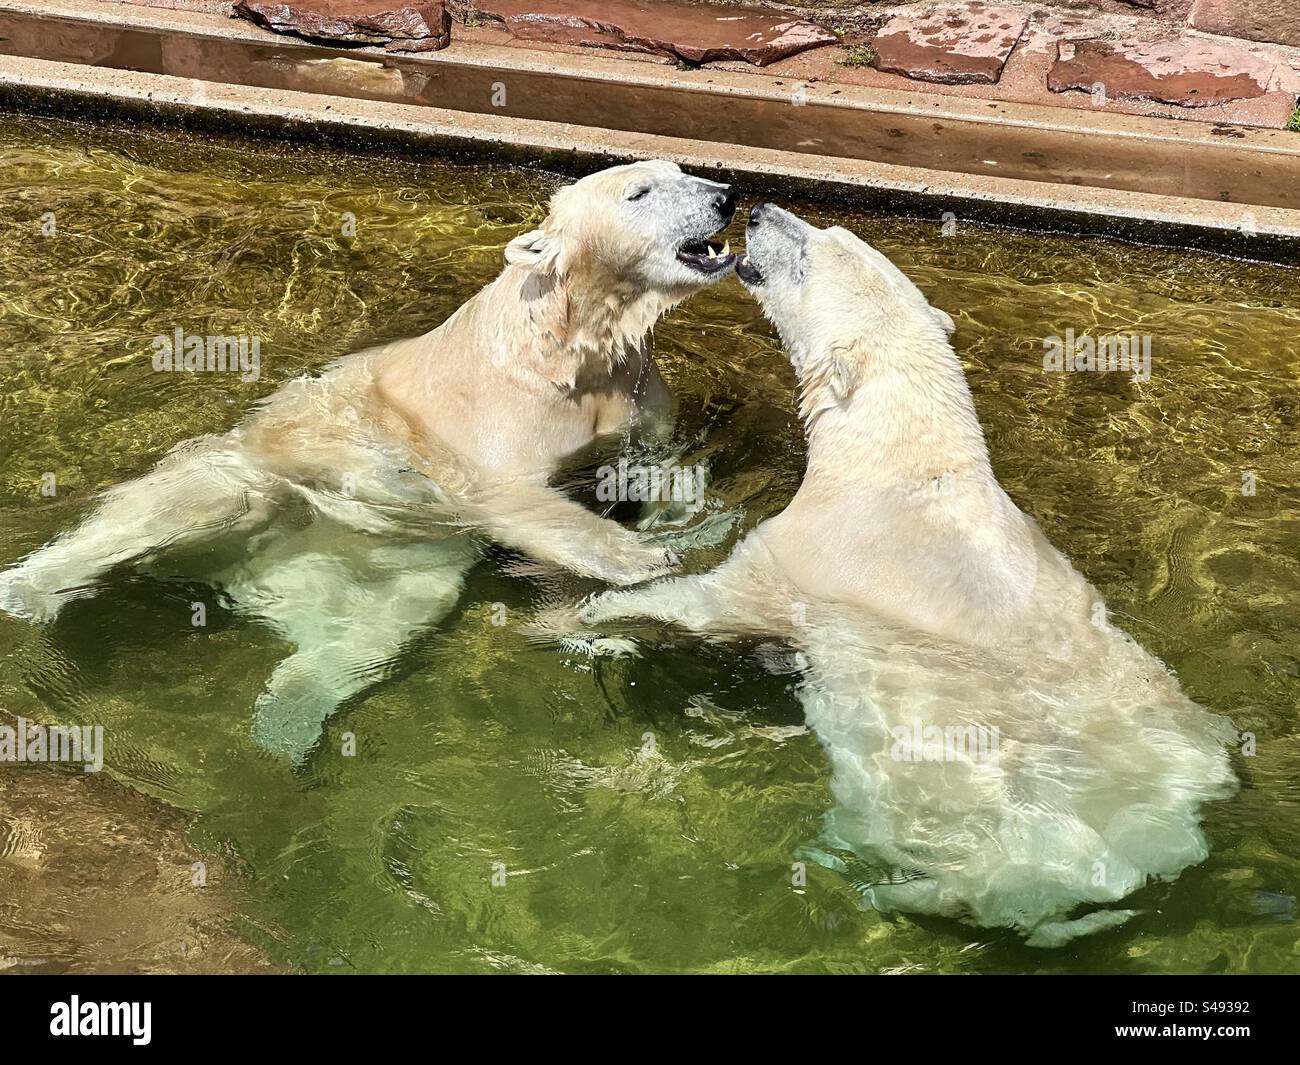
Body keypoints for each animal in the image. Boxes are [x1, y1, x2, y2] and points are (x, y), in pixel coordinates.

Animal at [0, 157, 738, 764]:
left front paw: (667, 543)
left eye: (683, 170)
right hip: (262, 474)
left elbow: (659, 461)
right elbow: (518, 499)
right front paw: (642, 559)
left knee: (375, 625)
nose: (726, 195)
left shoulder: (634, 392)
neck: (569, 345)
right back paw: (27, 590)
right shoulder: (498, 422)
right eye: (640, 191)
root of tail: (250, 580)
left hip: (387, 565)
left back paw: (290, 717)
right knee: (196, 502)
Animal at [564, 204, 1232, 946]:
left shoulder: (811, 555)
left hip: (972, 828)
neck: (904, 461)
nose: (760, 212)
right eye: (830, 233)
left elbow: (721, 597)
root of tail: (1134, 861)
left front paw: (596, 614)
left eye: (810, 254)